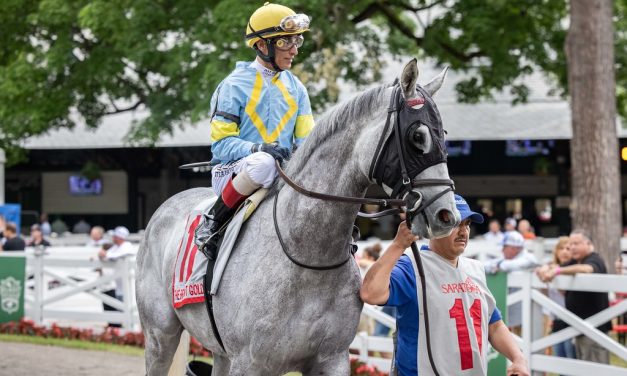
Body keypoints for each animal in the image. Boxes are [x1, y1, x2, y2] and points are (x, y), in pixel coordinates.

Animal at [137, 59, 462, 376]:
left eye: (444, 135)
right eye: (417, 136)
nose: (447, 216)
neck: (308, 256)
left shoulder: (332, 359)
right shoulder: (249, 363)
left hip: (220, 351)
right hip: (160, 335)